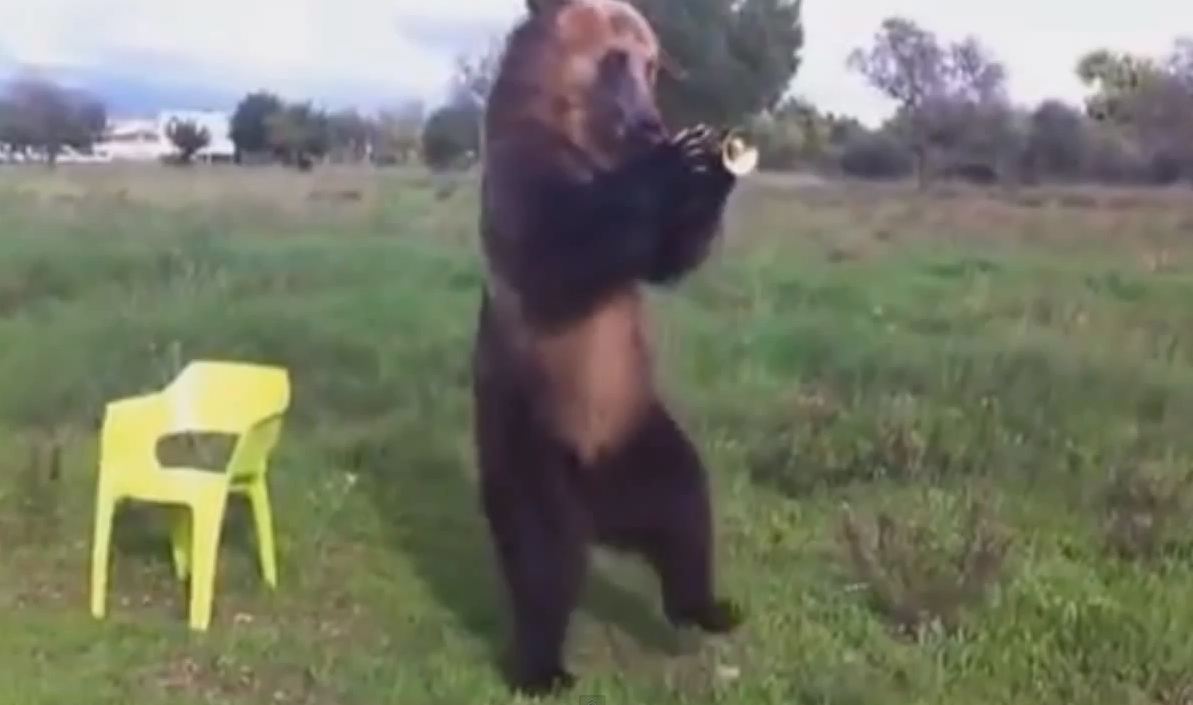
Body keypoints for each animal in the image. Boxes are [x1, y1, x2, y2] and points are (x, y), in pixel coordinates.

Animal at [470, 0, 744, 694]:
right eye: (616, 58)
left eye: (653, 65)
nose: (651, 121)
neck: (585, 138)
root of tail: (603, 507)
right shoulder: (520, 173)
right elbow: (560, 244)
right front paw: (680, 158)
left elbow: (667, 257)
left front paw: (715, 167)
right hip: (533, 437)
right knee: (542, 555)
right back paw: (541, 667)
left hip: (637, 427)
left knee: (685, 509)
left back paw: (708, 607)